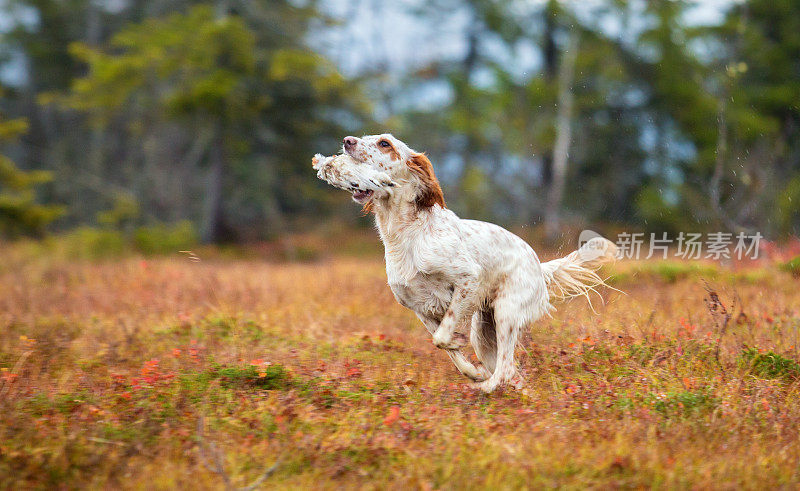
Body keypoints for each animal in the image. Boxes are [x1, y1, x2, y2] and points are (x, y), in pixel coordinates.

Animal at [310, 134, 616, 392]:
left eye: (385, 143)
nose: (347, 141)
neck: (406, 235)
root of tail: (540, 267)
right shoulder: (419, 308)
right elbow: (445, 347)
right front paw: (472, 371)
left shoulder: (468, 280)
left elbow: (444, 336)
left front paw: (467, 358)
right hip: (484, 330)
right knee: (511, 371)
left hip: (505, 313)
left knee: (505, 367)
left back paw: (487, 389)